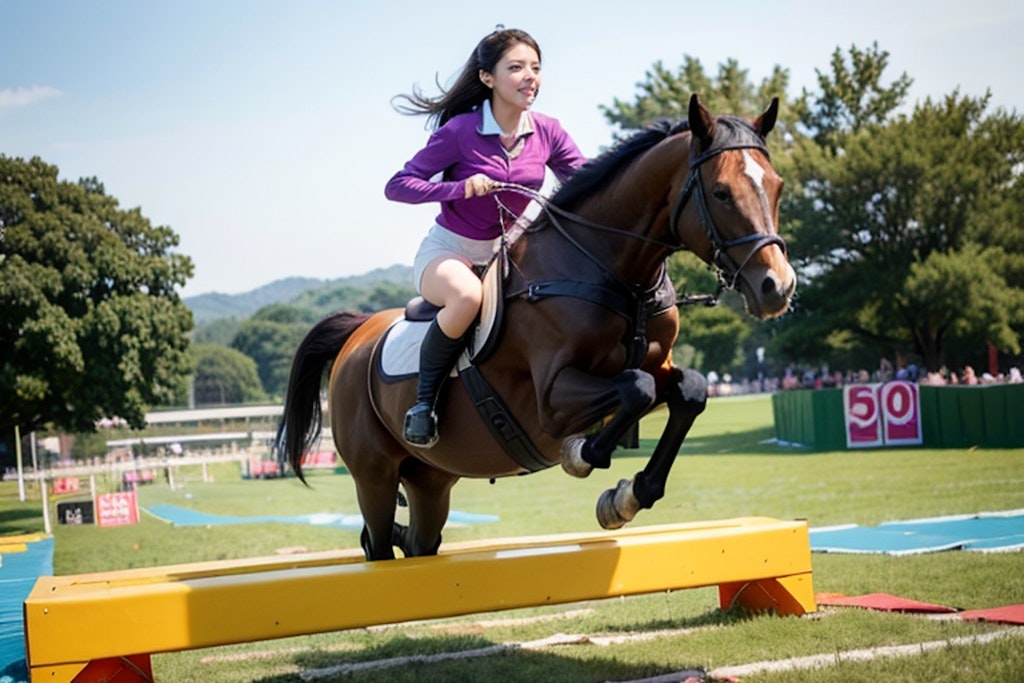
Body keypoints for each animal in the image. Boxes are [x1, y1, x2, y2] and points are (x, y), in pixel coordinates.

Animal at [276, 94, 794, 561]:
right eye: (721, 191)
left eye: (777, 187)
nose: (777, 286)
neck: (613, 273)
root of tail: (358, 335)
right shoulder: (550, 399)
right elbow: (635, 389)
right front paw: (582, 457)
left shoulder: (658, 365)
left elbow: (689, 390)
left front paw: (627, 496)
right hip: (375, 475)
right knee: (380, 542)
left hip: (430, 479)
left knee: (419, 539)